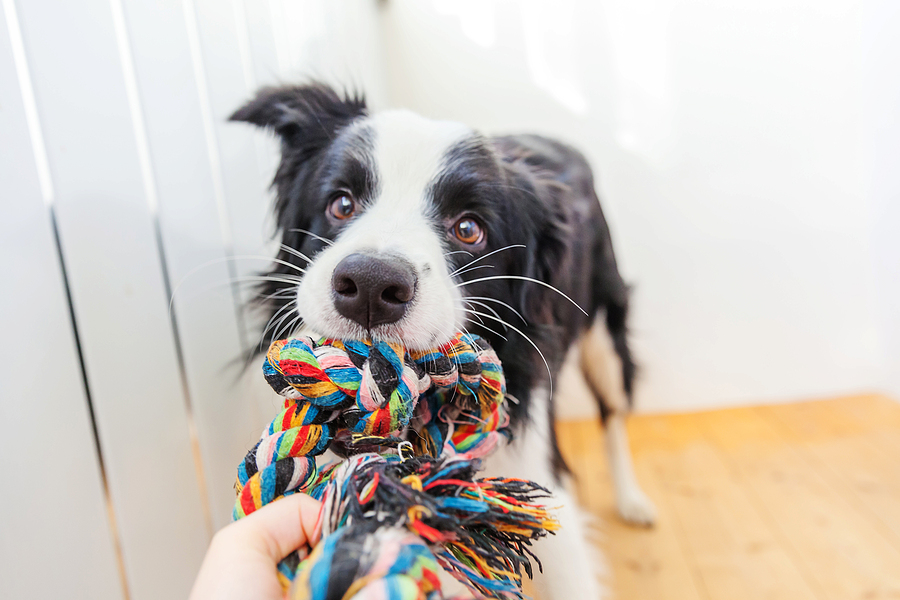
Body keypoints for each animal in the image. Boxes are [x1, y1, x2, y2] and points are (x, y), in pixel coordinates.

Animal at [230, 83, 652, 600]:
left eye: (469, 229)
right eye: (341, 204)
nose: (370, 285)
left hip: (606, 330)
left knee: (614, 411)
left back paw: (632, 499)